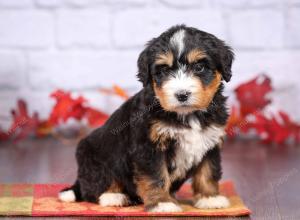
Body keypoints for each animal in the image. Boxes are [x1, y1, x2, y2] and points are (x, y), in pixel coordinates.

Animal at [58, 24, 234, 212]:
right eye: (164, 70)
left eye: (199, 67)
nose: (182, 94)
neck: (188, 114)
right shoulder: (149, 146)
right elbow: (156, 176)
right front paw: (162, 202)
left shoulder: (210, 142)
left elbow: (208, 171)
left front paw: (210, 198)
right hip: (94, 157)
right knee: (94, 187)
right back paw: (114, 196)